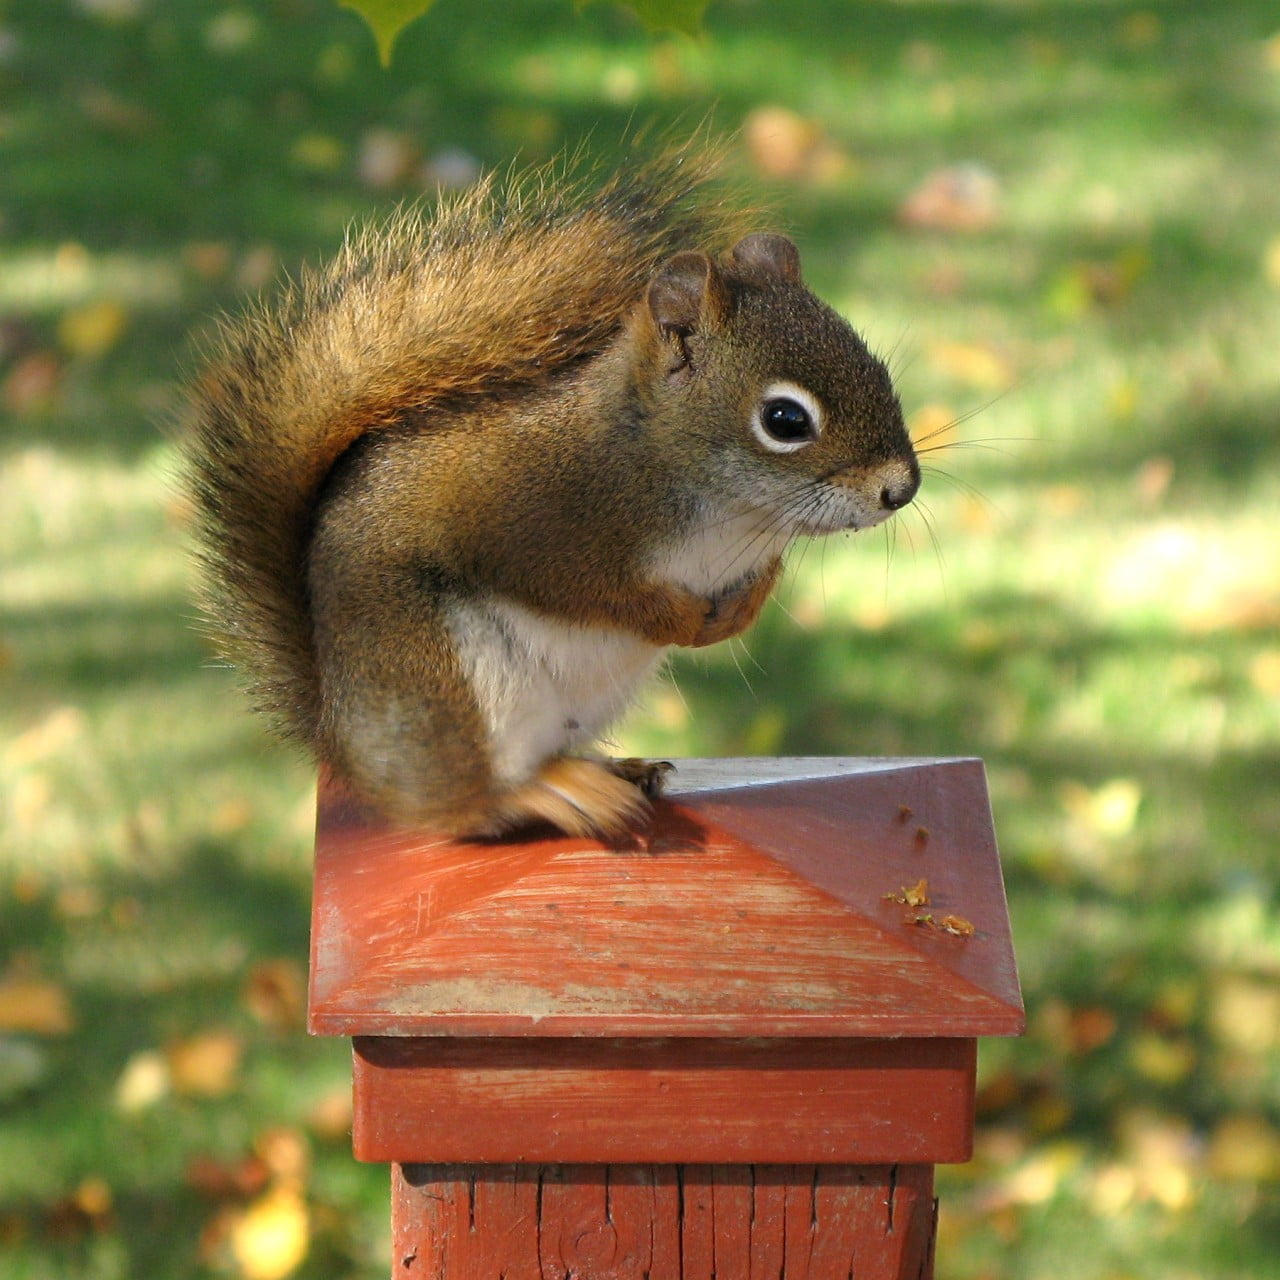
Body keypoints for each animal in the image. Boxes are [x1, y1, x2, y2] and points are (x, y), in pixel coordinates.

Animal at [185, 145, 919, 840]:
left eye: (879, 370)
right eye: (785, 420)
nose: (902, 489)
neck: (728, 516)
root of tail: (344, 743)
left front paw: (740, 612)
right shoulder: (534, 520)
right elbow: (586, 589)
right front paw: (676, 619)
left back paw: (615, 770)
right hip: (446, 677)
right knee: (458, 806)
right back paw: (543, 794)